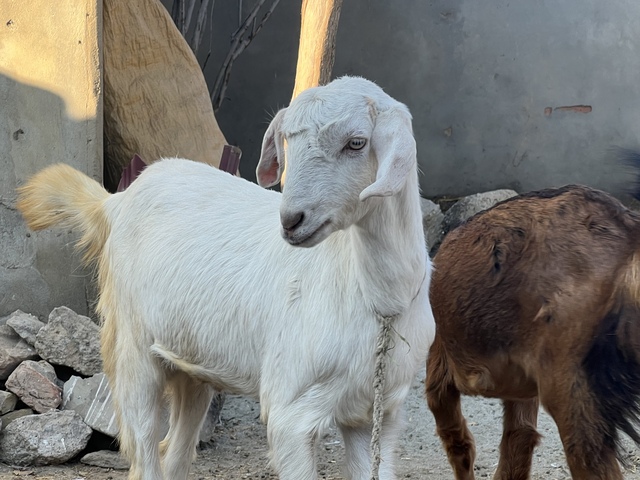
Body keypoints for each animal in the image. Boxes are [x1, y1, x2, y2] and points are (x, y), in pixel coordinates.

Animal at [16, 76, 435, 480]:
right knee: (144, 447)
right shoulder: (291, 410)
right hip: (130, 343)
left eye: (356, 142)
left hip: (192, 358)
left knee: (177, 452)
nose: (291, 220)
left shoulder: (378, 412)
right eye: (289, 142)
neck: (376, 299)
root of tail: (114, 201)